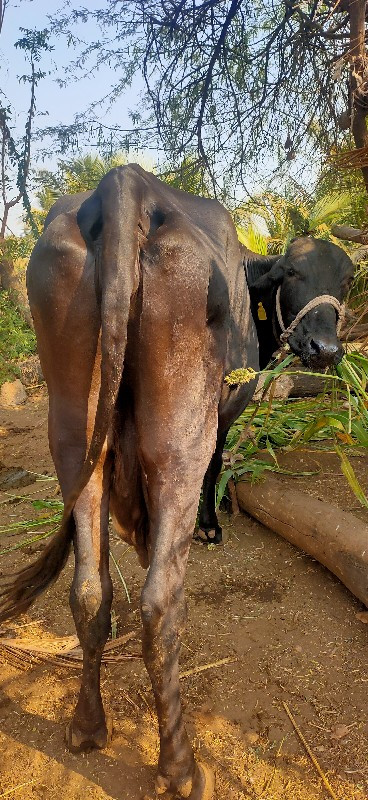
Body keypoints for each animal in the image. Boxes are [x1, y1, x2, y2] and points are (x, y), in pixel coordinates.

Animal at [0, 164, 352, 800]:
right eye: (292, 274)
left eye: (349, 277)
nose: (325, 348)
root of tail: (125, 184)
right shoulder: (229, 400)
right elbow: (217, 462)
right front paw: (212, 526)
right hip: (179, 434)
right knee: (160, 601)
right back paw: (180, 767)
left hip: (74, 432)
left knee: (89, 590)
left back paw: (87, 728)